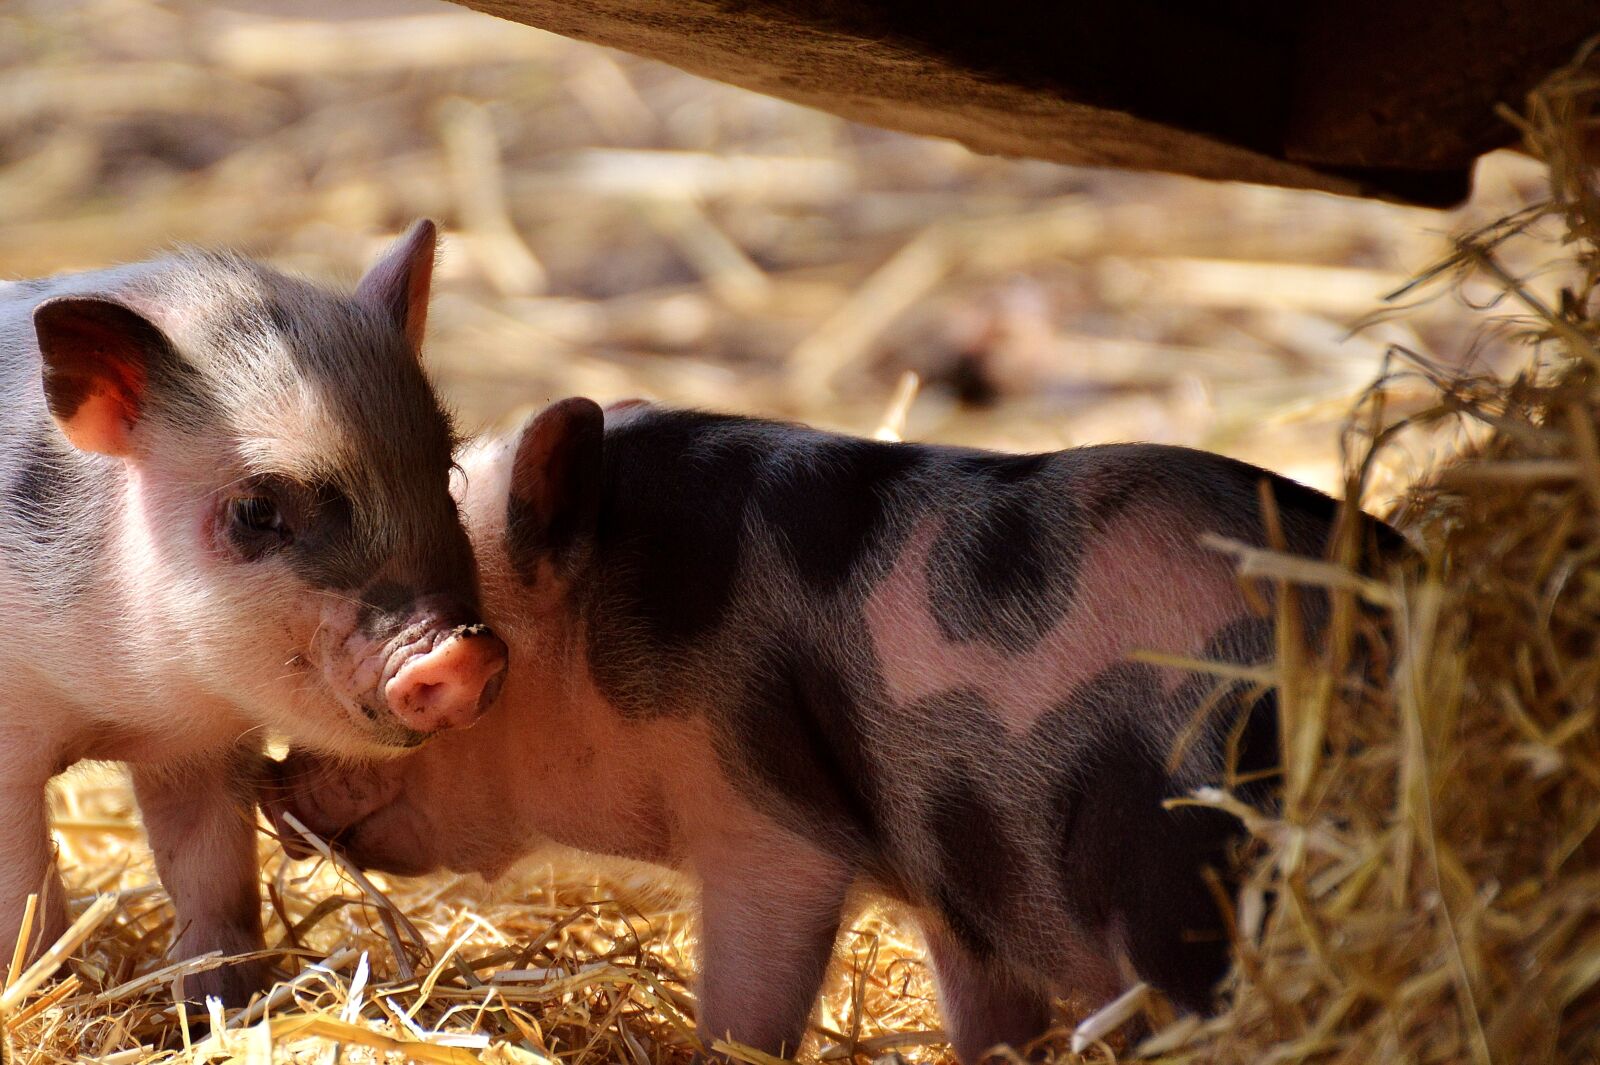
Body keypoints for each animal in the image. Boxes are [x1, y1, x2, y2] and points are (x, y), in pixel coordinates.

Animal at [0, 222, 509, 1006]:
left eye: (447, 476)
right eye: (256, 511)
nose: (461, 650)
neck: (124, 701)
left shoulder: (202, 746)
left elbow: (212, 873)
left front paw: (225, 1002)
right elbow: (26, 894)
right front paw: (46, 998)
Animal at [267, 398, 1399, 1061]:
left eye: (447, 677)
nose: (277, 784)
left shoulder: (770, 824)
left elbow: (751, 1000)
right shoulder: (962, 892)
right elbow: (988, 1022)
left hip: (1184, 860)